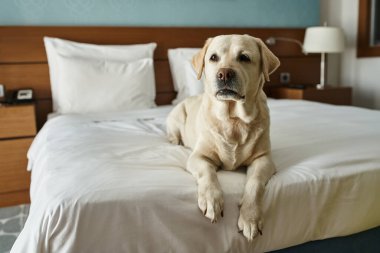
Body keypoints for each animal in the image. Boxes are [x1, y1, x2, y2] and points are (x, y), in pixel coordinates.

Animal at [166, 34, 280, 240]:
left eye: (244, 57)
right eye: (213, 57)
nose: (224, 74)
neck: (234, 119)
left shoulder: (264, 159)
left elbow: (255, 184)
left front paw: (250, 217)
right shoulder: (198, 157)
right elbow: (208, 173)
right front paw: (212, 200)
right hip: (177, 115)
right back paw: (175, 140)